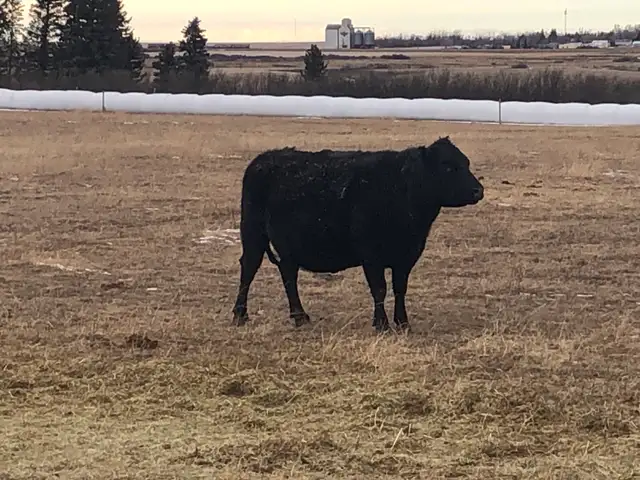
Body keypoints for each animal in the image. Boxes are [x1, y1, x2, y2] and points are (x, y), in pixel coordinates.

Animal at [231, 136, 484, 333]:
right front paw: (381, 324)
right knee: (249, 269)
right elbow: (379, 288)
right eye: (448, 166)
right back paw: (240, 315)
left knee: (288, 274)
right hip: (252, 232)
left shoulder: (406, 256)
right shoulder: (371, 255)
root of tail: (263, 159)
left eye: (466, 163)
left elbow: (400, 288)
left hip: (288, 246)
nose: (478, 191)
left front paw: (403, 323)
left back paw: (300, 317)